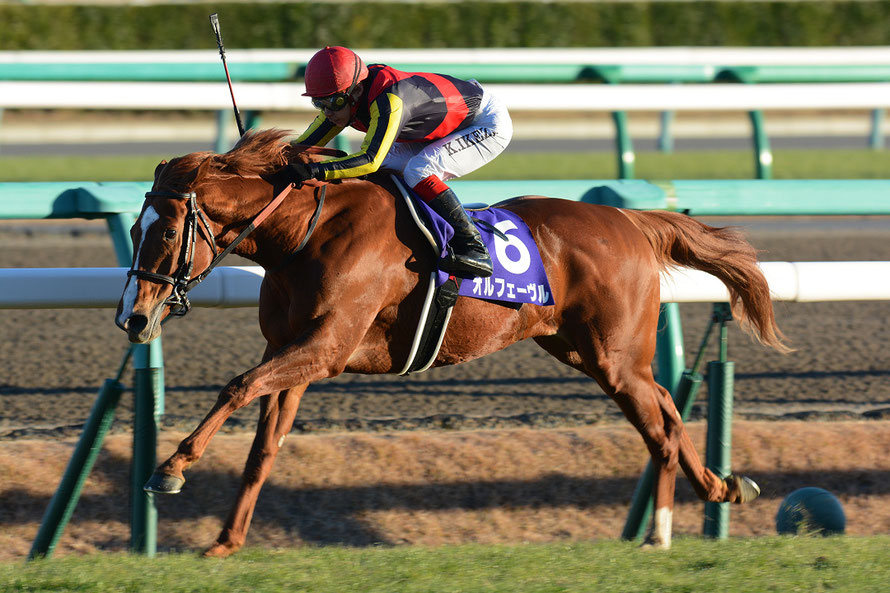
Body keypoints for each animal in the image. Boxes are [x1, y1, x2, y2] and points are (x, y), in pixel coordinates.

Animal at [116, 128, 787, 557]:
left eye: (166, 231)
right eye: (134, 229)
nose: (133, 318)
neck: (304, 234)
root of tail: (629, 220)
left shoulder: (325, 350)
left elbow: (235, 386)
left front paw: (169, 470)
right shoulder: (293, 355)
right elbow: (263, 449)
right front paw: (225, 541)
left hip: (613, 356)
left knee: (660, 429)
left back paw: (661, 532)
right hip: (588, 354)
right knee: (668, 409)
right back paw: (723, 487)